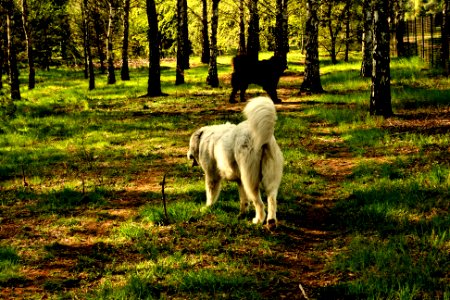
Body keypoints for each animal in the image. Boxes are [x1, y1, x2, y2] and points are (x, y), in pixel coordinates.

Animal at [188, 97, 284, 226]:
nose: (188, 155)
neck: (205, 138)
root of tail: (263, 139)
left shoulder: (212, 176)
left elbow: (211, 194)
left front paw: (207, 207)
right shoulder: (240, 180)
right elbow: (243, 199)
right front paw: (242, 213)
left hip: (250, 180)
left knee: (259, 203)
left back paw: (258, 220)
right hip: (269, 178)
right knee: (272, 199)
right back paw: (271, 221)